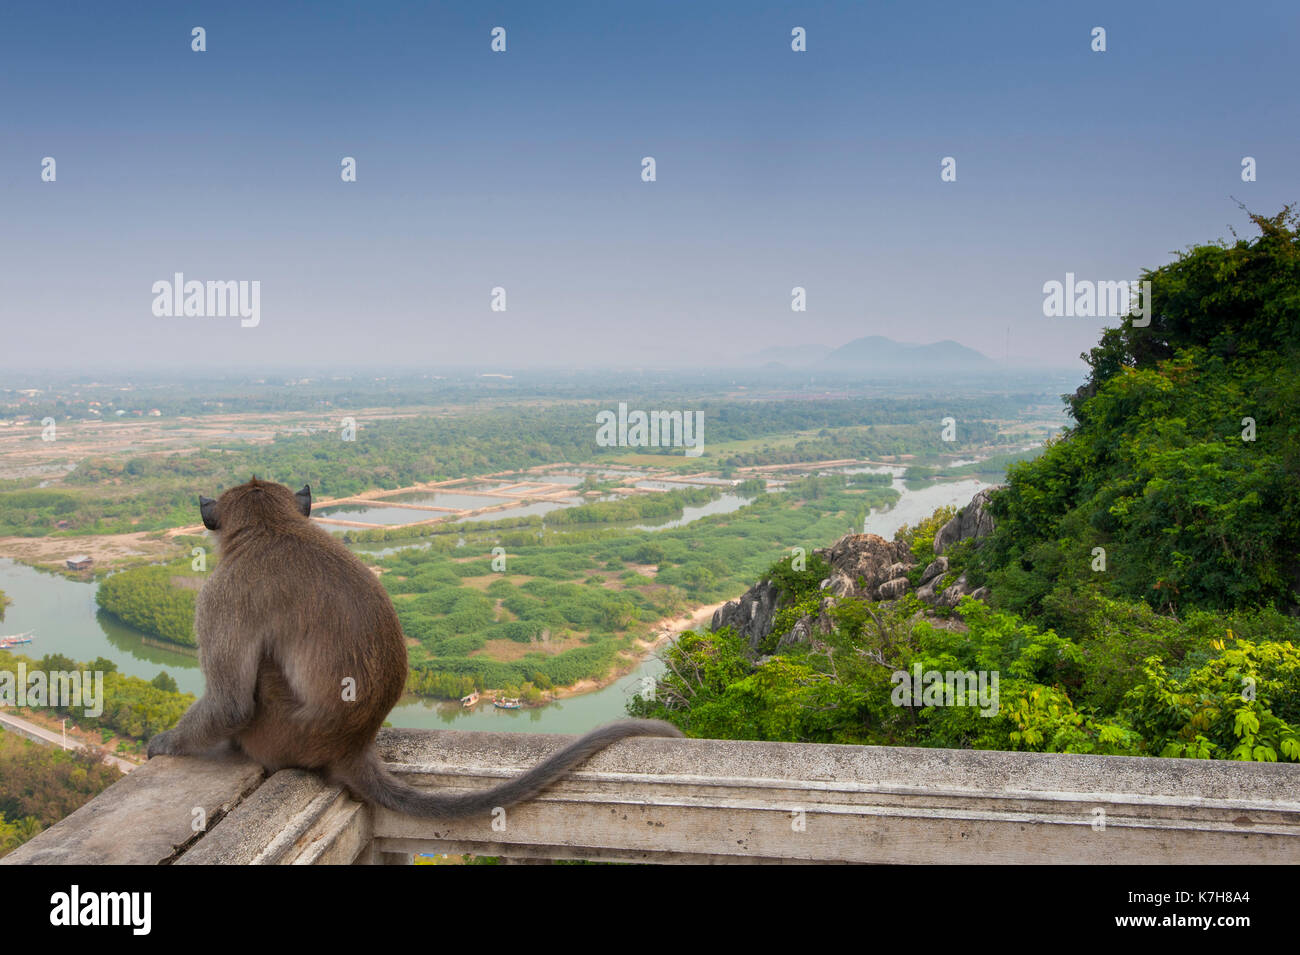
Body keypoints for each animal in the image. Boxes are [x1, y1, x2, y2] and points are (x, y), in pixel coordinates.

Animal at [146, 475, 686, 815]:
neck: (273, 527)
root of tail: (353, 745)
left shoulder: (220, 594)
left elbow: (230, 704)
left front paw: (165, 743)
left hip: (276, 732)